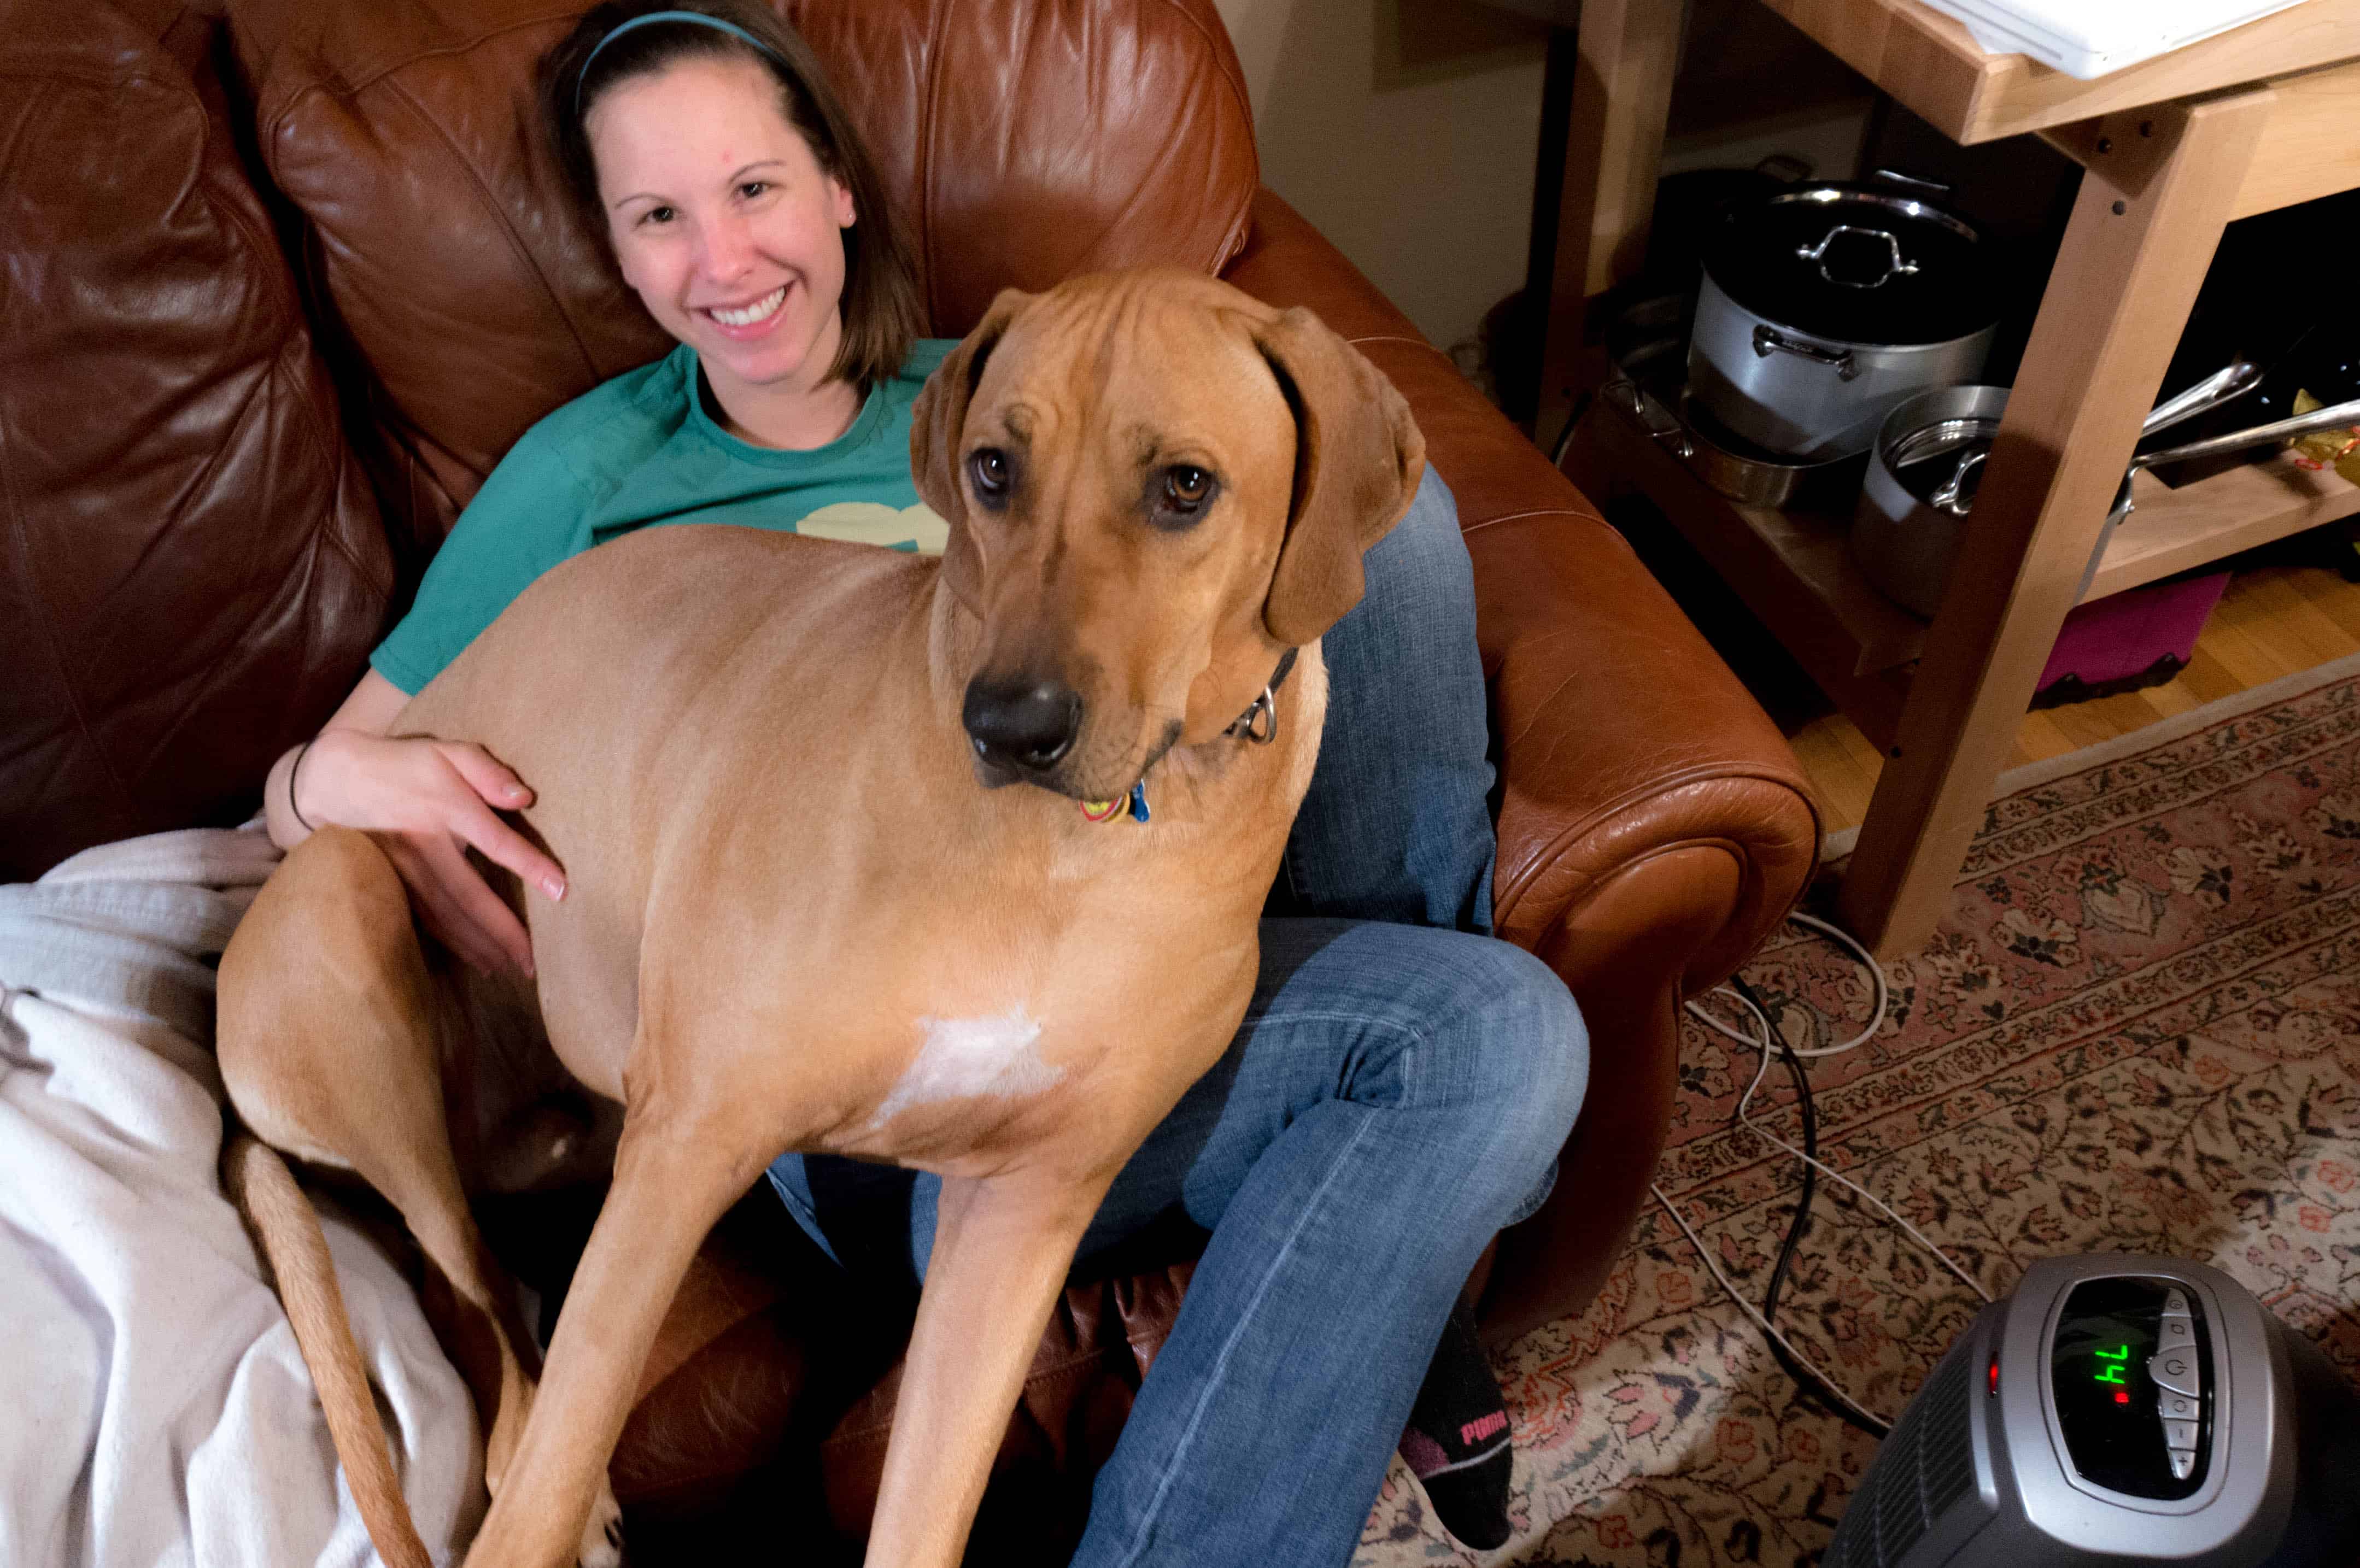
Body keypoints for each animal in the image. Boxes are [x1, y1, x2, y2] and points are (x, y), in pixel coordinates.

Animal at [217, 268, 1416, 1565]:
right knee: (475, 1310)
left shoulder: (1022, 1216)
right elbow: (543, 1468)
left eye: (1185, 487)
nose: (1009, 727)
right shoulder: (692, 1142)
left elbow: (927, 1508)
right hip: (348, 920)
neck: (1075, 849)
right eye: (993, 469)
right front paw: (550, 1497)